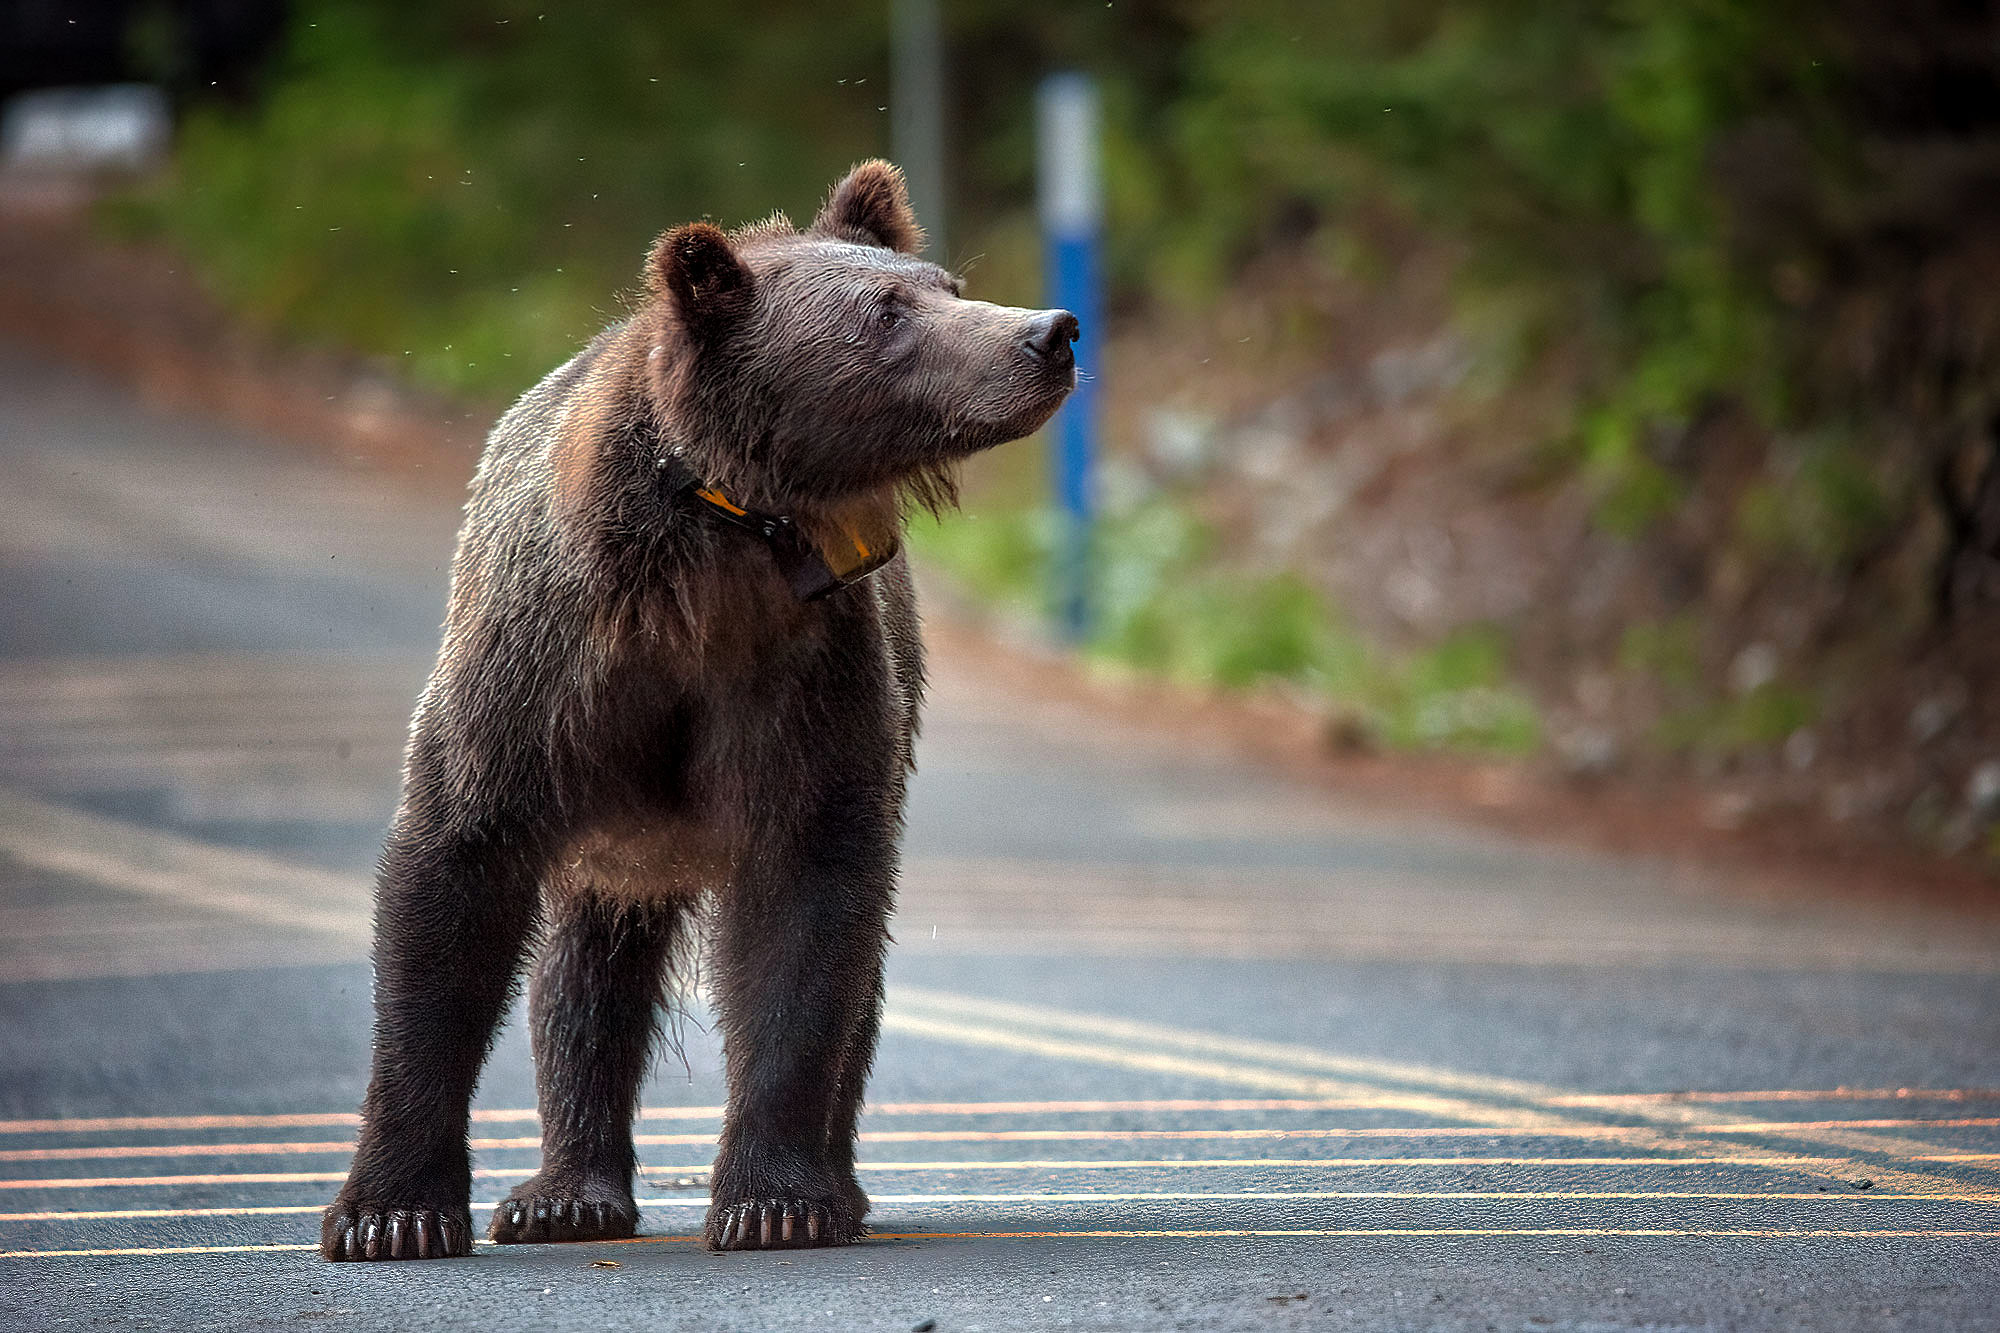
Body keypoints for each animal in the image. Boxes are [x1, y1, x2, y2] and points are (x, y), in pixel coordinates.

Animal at [320, 163, 1080, 1256]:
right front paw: (390, 1211)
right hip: (609, 827)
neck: (712, 551)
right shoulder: (543, 670)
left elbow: (808, 921)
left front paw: (777, 1199)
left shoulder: (803, 676)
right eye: (887, 312)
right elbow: (449, 885)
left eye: (946, 285)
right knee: (585, 972)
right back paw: (564, 1191)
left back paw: (832, 1183)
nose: (1048, 332)